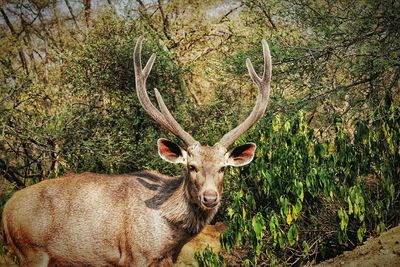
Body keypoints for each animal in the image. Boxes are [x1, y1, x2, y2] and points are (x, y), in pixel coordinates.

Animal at [2, 36, 272, 267]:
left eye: (223, 168)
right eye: (191, 166)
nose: (210, 197)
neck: (167, 237)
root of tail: (6, 212)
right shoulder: (135, 255)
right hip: (31, 251)